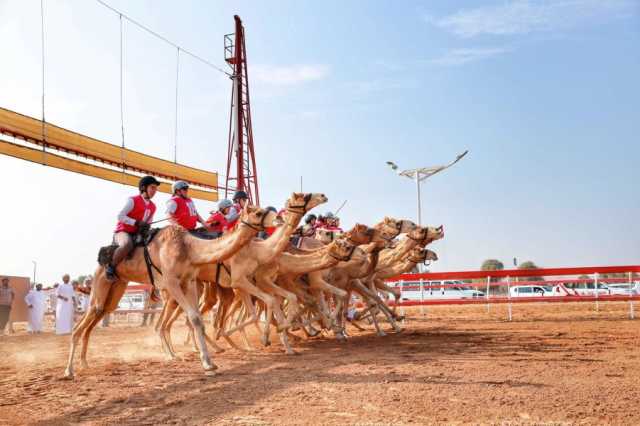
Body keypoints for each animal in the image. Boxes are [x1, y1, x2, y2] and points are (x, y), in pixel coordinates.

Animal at [63, 205, 276, 378]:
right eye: (258, 212)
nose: (277, 219)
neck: (189, 248)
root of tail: (99, 263)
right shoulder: (171, 281)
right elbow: (194, 317)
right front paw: (208, 362)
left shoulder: (189, 281)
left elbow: (198, 319)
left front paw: (210, 363)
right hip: (101, 284)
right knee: (84, 321)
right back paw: (69, 370)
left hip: (116, 290)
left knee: (99, 315)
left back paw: (84, 363)